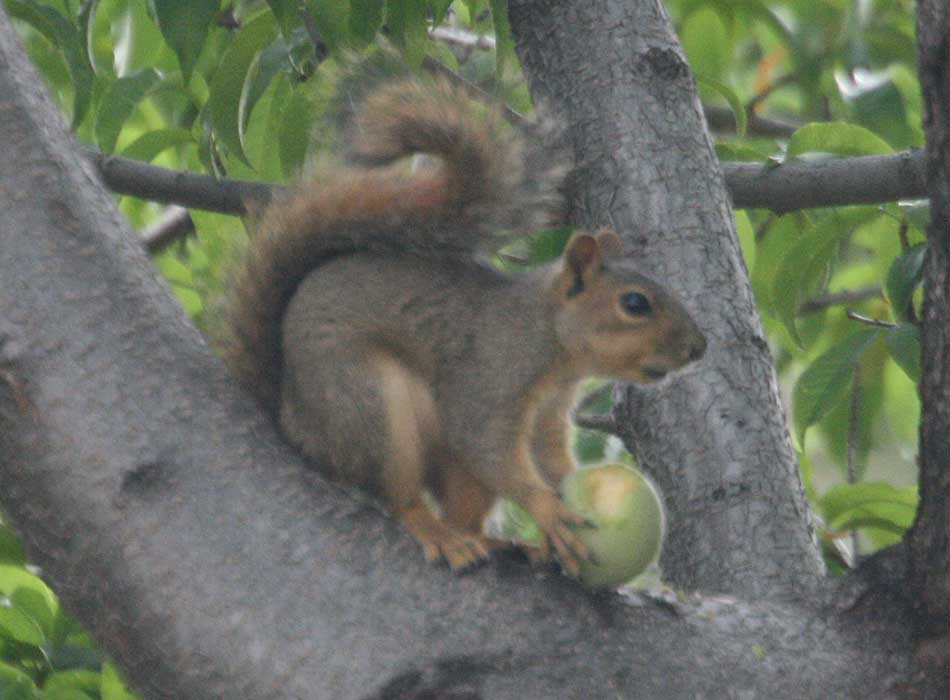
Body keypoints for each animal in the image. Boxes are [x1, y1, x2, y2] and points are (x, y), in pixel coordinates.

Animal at [219, 80, 704, 576]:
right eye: (634, 303)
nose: (698, 347)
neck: (551, 342)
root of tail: (289, 415)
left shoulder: (549, 413)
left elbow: (548, 457)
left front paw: (564, 491)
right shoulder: (489, 375)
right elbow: (486, 444)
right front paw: (548, 511)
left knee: (462, 508)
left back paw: (501, 542)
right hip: (361, 401)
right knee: (399, 493)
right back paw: (438, 532)